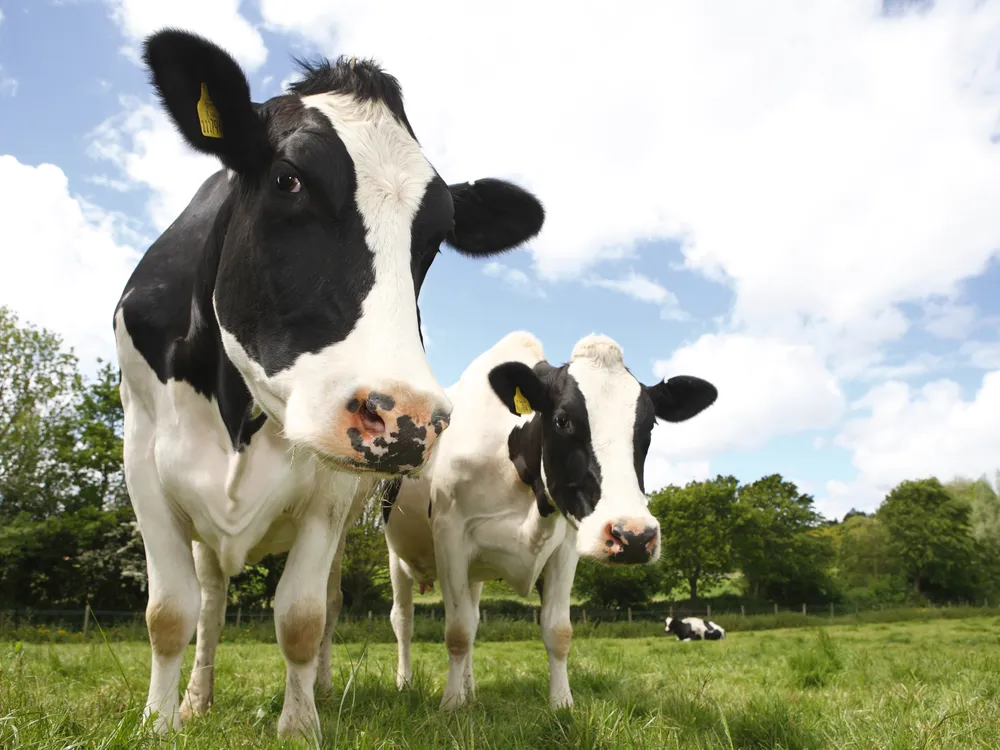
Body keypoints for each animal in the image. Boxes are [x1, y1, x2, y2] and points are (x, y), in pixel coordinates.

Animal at [376, 334, 720, 712]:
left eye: (649, 426)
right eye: (562, 420)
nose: (633, 537)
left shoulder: (566, 546)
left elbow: (558, 630)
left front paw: (561, 705)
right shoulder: (450, 535)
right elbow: (457, 632)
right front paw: (450, 705)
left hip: (475, 574)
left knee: (473, 617)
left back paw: (471, 689)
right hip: (397, 558)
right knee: (404, 621)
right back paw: (406, 684)